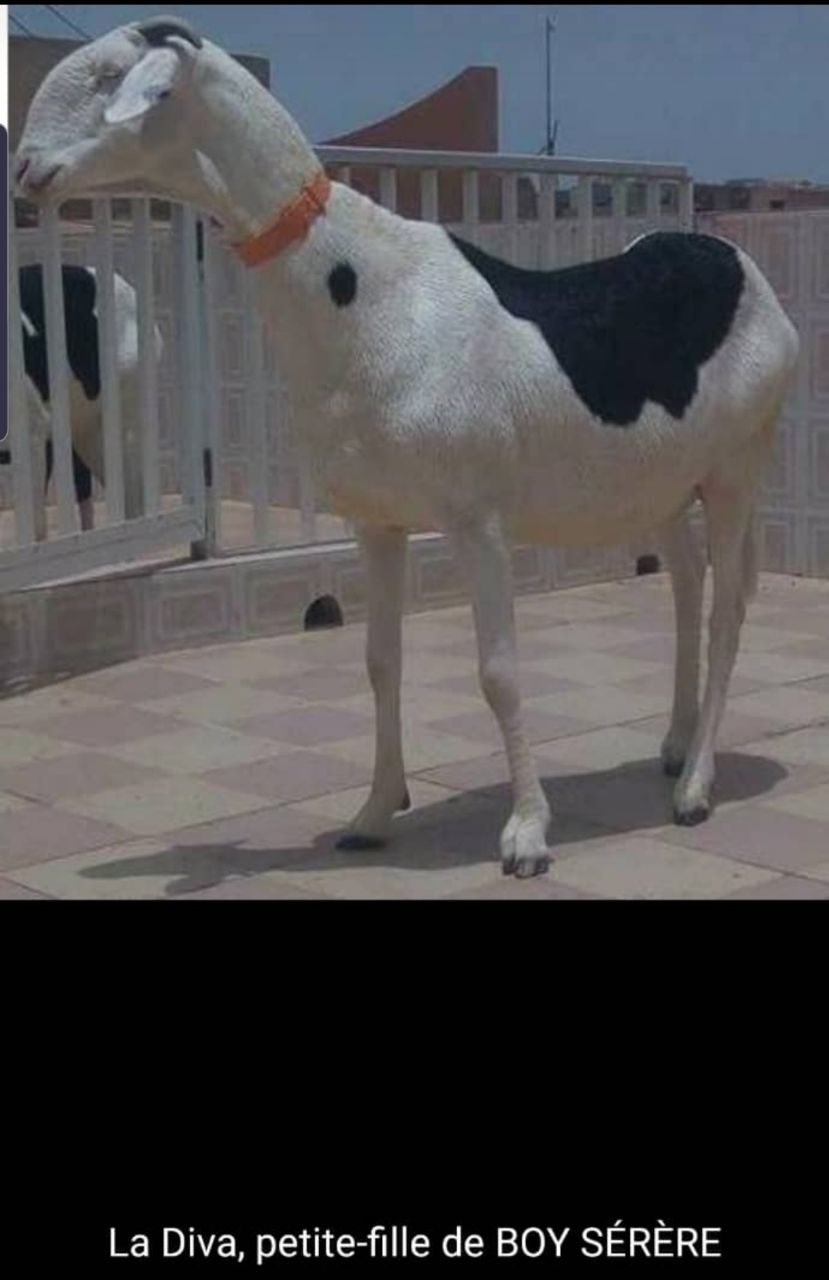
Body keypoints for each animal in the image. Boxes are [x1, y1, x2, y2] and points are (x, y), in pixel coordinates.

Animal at [15, 16, 801, 878]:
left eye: (110, 77)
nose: (26, 169)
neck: (366, 291)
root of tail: (741, 269)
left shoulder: (475, 517)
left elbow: (498, 672)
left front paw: (526, 833)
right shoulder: (377, 521)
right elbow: (377, 660)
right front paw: (373, 812)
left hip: (737, 463)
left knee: (726, 607)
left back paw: (694, 787)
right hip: (658, 479)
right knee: (686, 585)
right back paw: (673, 744)